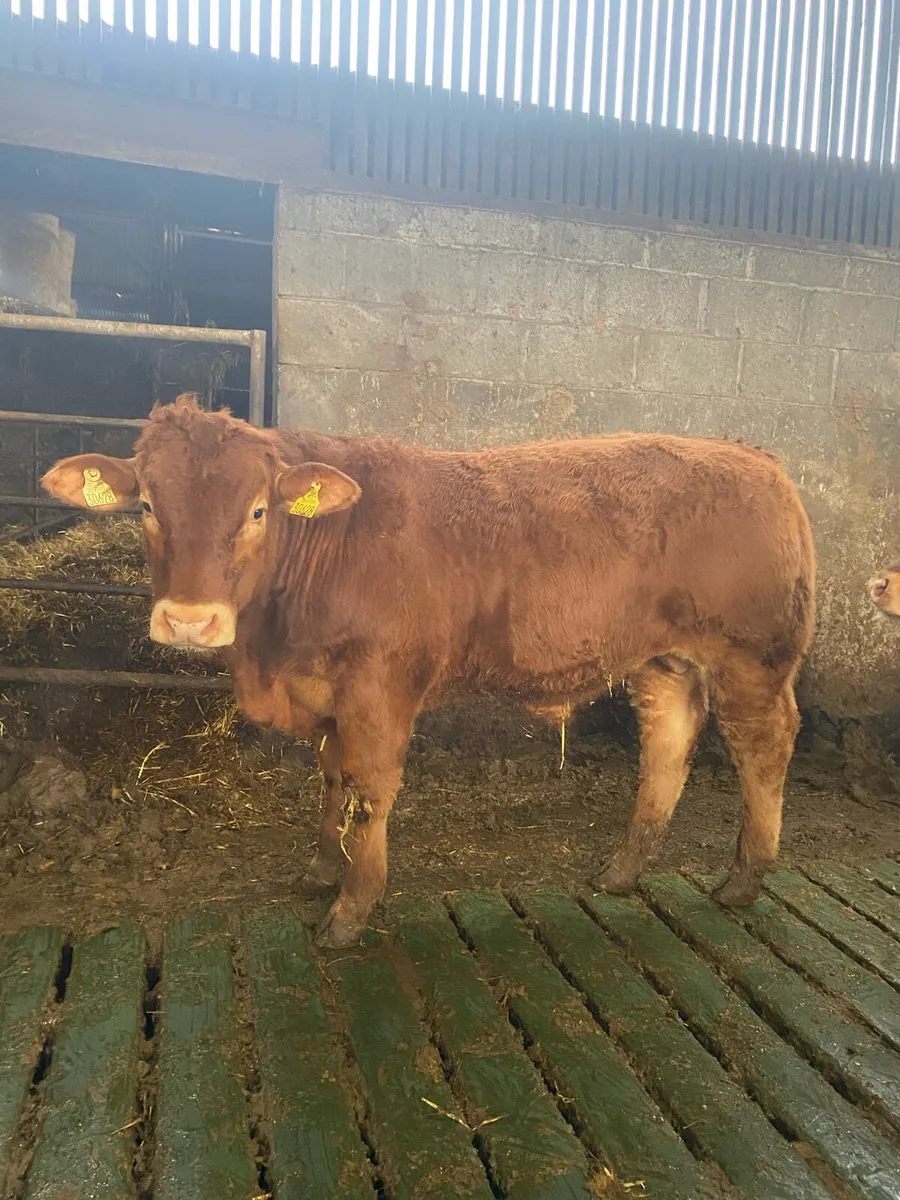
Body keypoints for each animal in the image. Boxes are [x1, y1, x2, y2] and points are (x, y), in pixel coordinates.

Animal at [42, 394, 816, 947]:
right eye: (147, 505)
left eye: (258, 510)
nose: (189, 620)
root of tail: (757, 459)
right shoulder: (328, 692)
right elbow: (332, 776)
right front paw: (321, 870)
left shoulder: (380, 685)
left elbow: (371, 788)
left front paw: (351, 909)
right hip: (664, 659)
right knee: (668, 743)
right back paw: (622, 870)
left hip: (754, 655)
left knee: (765, 744)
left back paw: (744, 877)